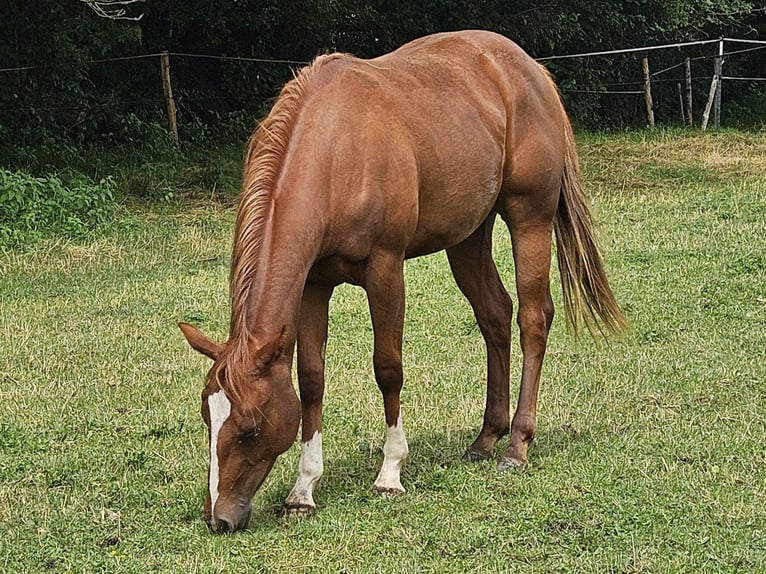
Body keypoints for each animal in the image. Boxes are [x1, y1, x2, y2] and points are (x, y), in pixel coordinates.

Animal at [179, 30, 626, 534]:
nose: (219, 518)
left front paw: (390, 472)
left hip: (530, 217)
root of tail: (529, 69)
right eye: (207, 417)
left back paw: (516, 445)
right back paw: (486, 438)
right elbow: (311, 379)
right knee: (495, 316)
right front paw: (303, 489)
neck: (336, 151)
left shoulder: (386, 270)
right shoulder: (314, 285)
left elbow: (388, 368)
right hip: (468, 237)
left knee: (533, 318)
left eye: (250, 427)